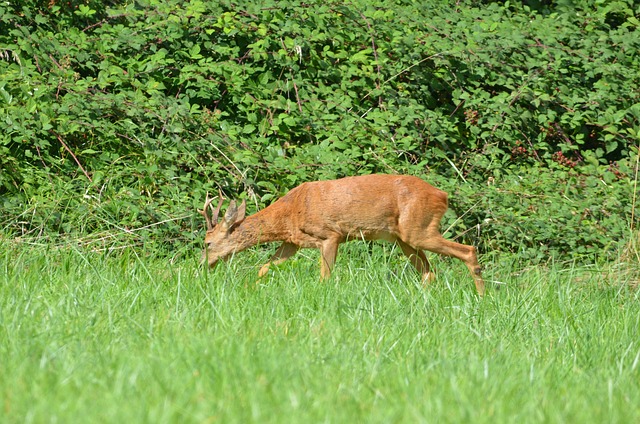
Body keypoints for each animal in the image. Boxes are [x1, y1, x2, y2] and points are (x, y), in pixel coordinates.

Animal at [200, 174, 484, 296]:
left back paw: (482, 297)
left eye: (207, 242)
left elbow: (325, 276)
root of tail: (442, 196)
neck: (290, 212)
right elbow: (265, 266)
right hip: (404, 239)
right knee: (429, 272)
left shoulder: (330, 235)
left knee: (468, 250)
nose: (203, 265)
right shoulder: (292, 242)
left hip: (419, 229)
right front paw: (249, 288)